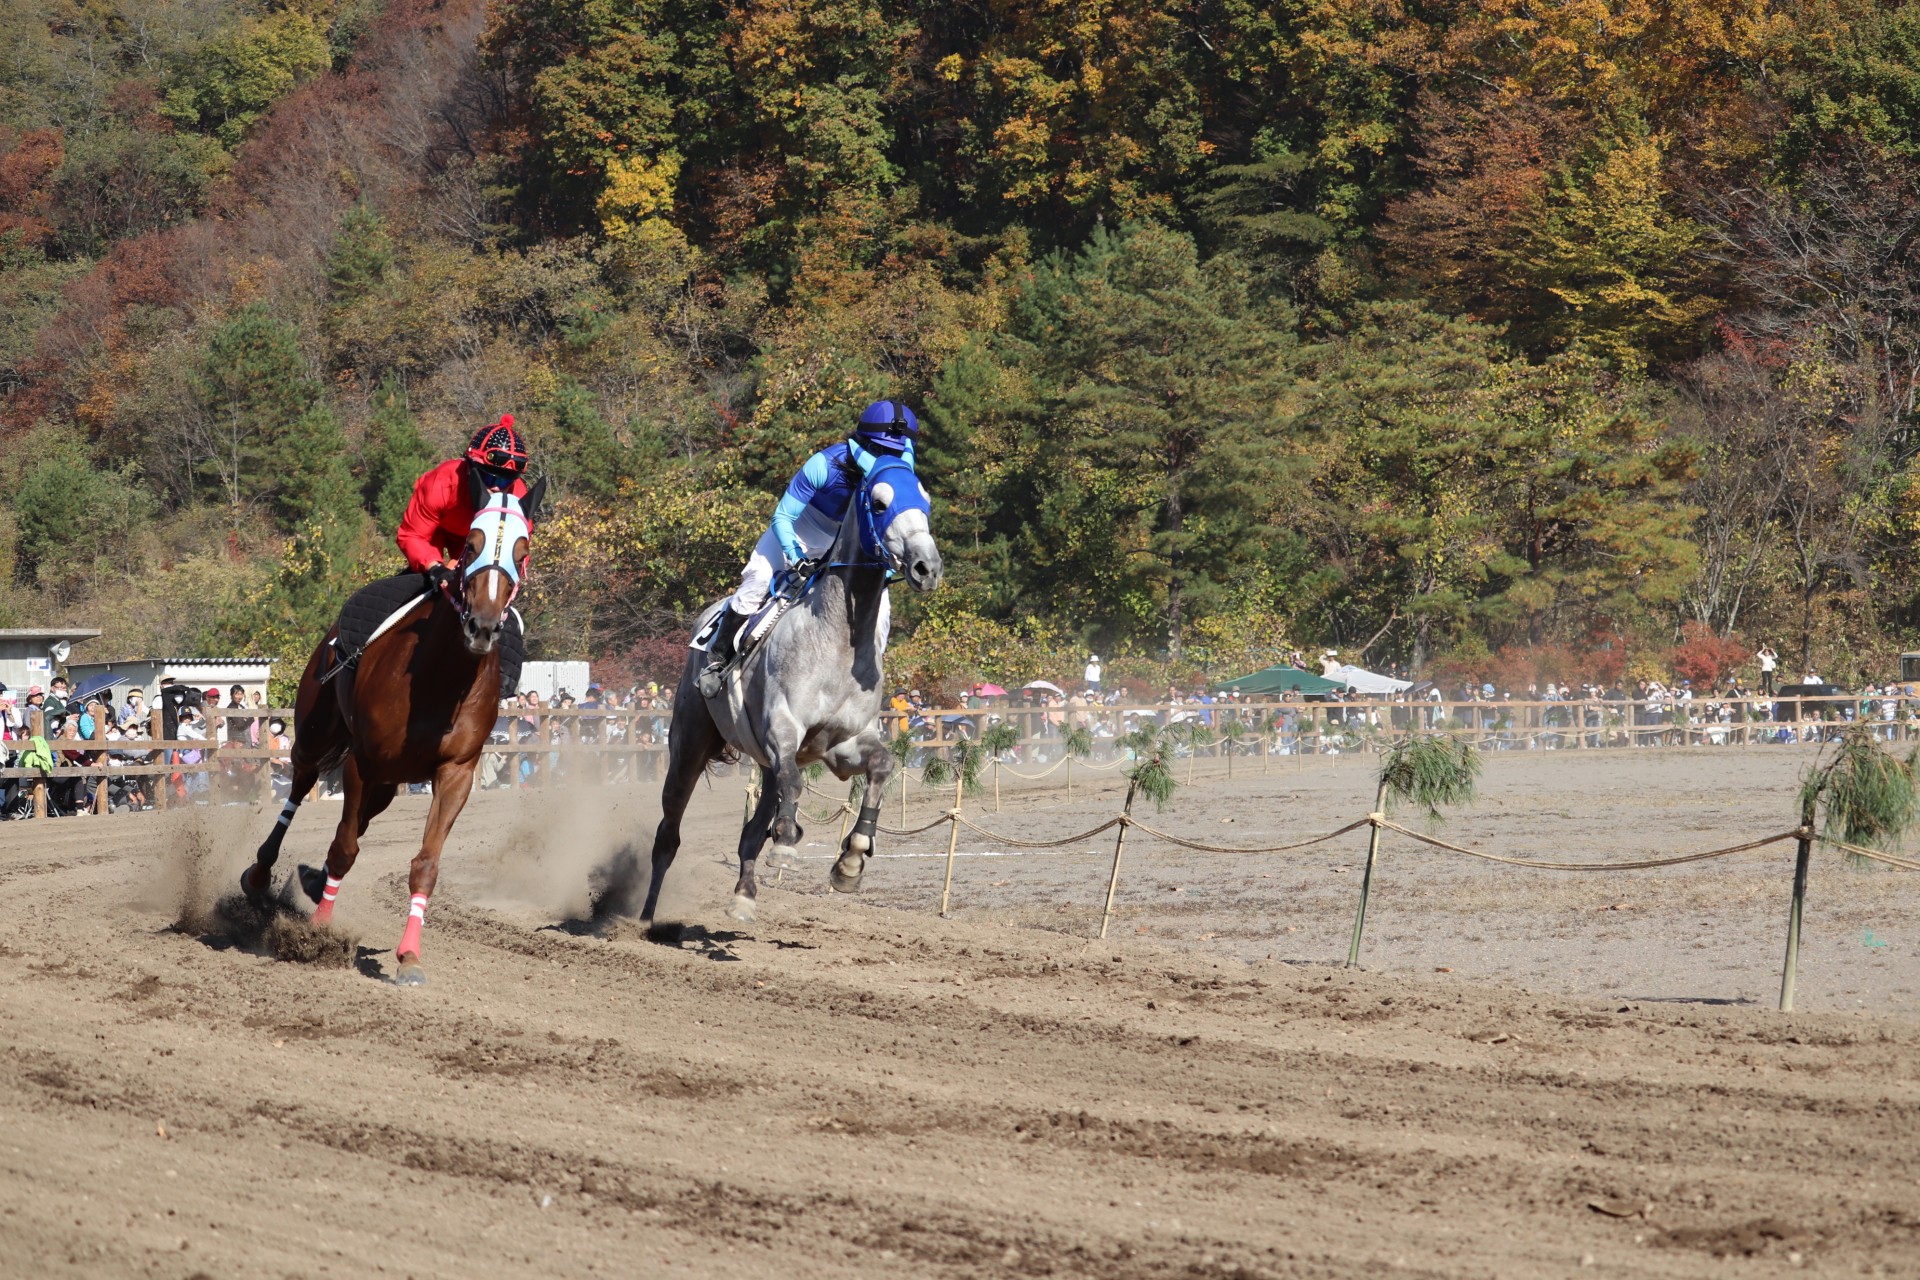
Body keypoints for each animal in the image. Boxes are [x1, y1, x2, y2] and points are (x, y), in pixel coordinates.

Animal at [240, 475, 545, 990]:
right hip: (317, 735)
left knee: (361, 819)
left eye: (521, 552)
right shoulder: (363, 760)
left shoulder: (455, 771)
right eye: (471, 544)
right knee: (300, 788)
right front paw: (320, 933)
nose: (482, 626)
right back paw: (261, 873)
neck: (440, 679)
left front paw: (410, 957)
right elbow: (344, 847)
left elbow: (425, 864)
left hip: (388, 780)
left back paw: (316, 880)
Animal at [633, 460, 940, 932]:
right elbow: (793, 786)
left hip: (762, 762)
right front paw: (788, 844)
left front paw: (851, 861)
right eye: (880, 502)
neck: (838, 639)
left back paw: (744, 896)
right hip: (689, 745)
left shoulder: (842, 745)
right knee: (669, 832)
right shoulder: (783, 730)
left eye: (925, 501)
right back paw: (646, 918)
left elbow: (882, 766)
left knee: (749, 833)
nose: (928, 566)